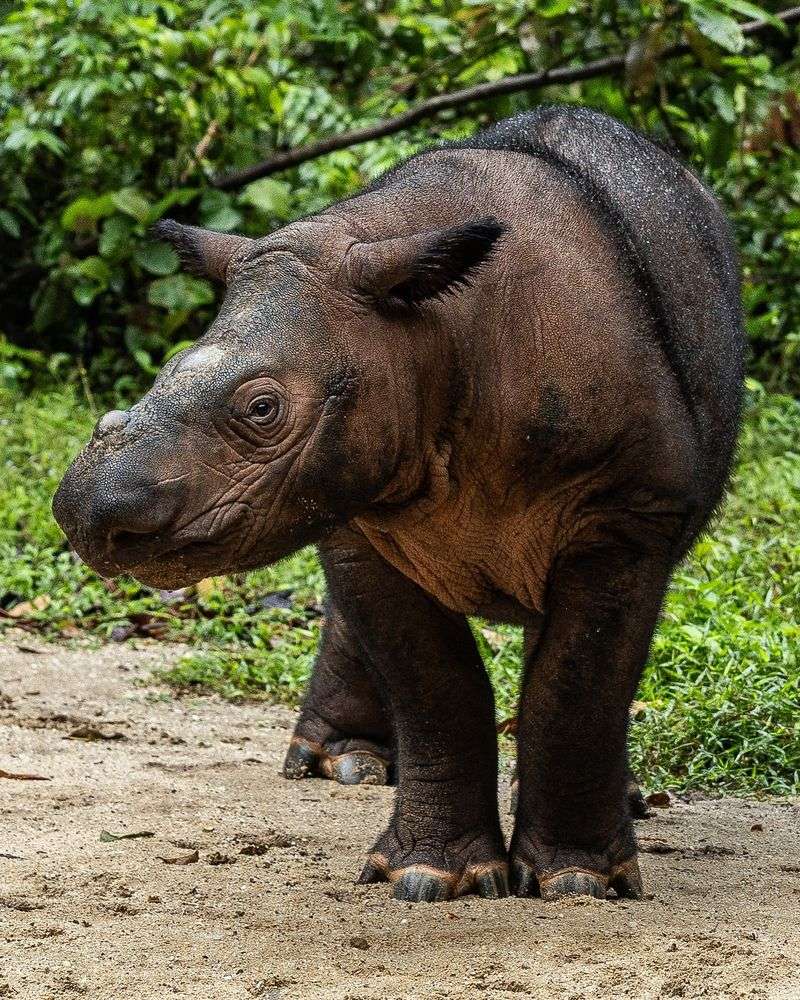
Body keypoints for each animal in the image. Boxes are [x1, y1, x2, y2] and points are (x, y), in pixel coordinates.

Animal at [54, 105, 744, 904]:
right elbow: (430, 684)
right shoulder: (355, 505)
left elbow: (579, 682)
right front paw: (431, 876)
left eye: (262, 409)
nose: (85, 514)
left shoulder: (628, 509)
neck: (435, 334)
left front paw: (579, 882)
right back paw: (341, 766)